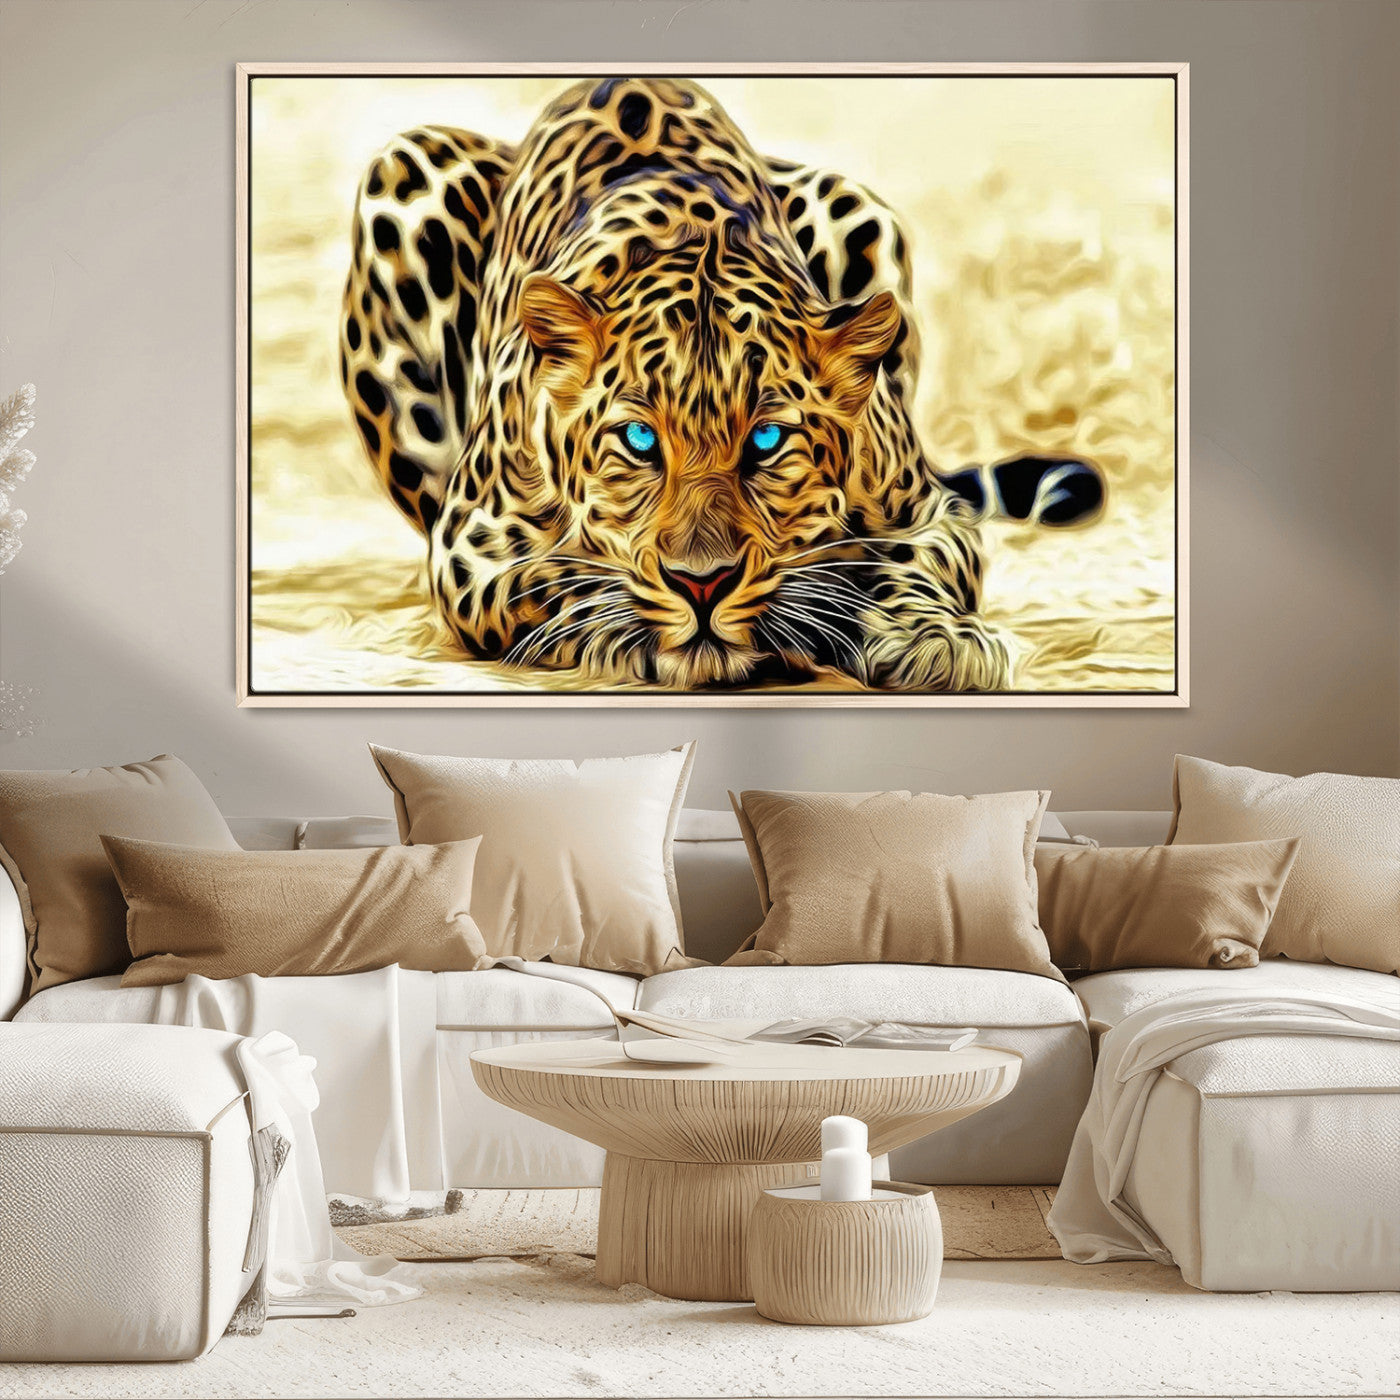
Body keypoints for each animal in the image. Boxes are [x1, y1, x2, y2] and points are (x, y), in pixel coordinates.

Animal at [339, 77, 1103, 691]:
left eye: (766, 441)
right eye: (639, 439)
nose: (701, 583)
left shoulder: (927, 511)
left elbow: (919, 563)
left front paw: (937, 638)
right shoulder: (472, 544)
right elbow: (558, 580)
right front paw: (631, 628)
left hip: (857, 206)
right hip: (406, 169)